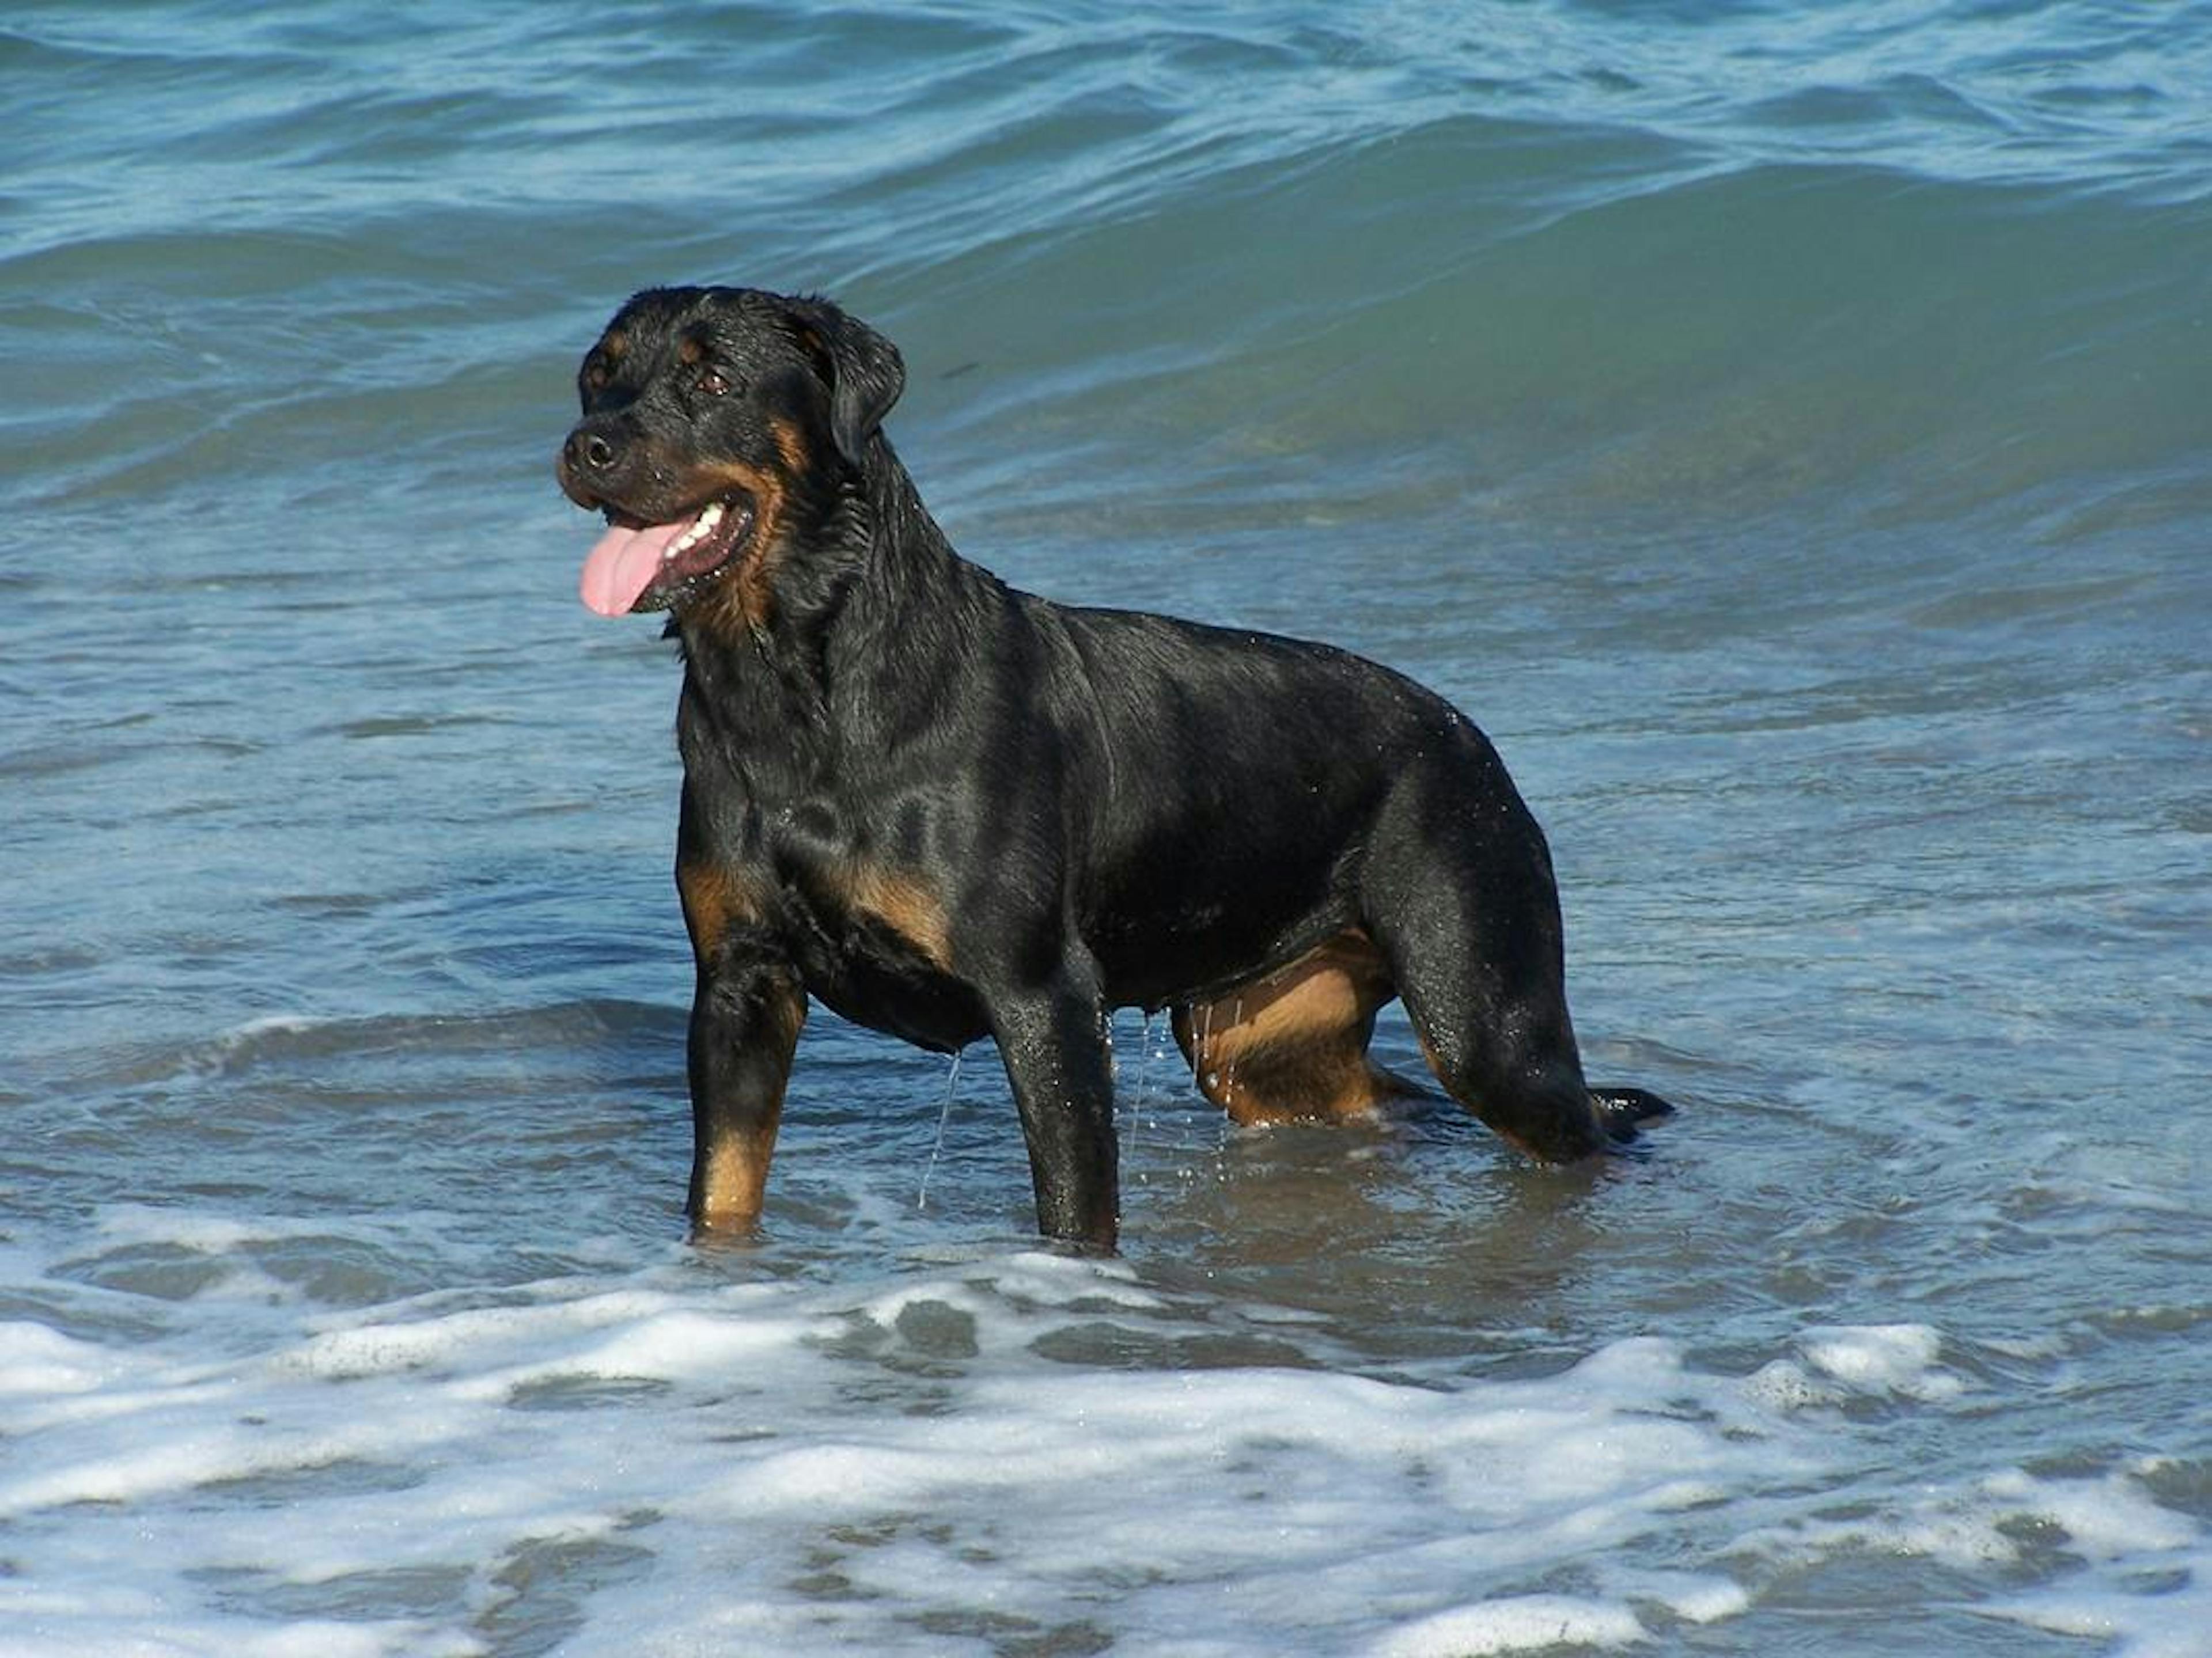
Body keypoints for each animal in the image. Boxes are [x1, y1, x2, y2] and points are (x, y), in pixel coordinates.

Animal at [562, 285, 1663, 1255]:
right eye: (597, 379)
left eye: (712, 379)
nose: (585, 448)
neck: (793, 687)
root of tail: (1472, 739)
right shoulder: (740, 983)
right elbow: (724, 1188)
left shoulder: (1042, 994)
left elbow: (1075, 1203)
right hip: (1257, 1041)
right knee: (1376, 1102)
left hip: (1482, 999)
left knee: (1564, 1118)